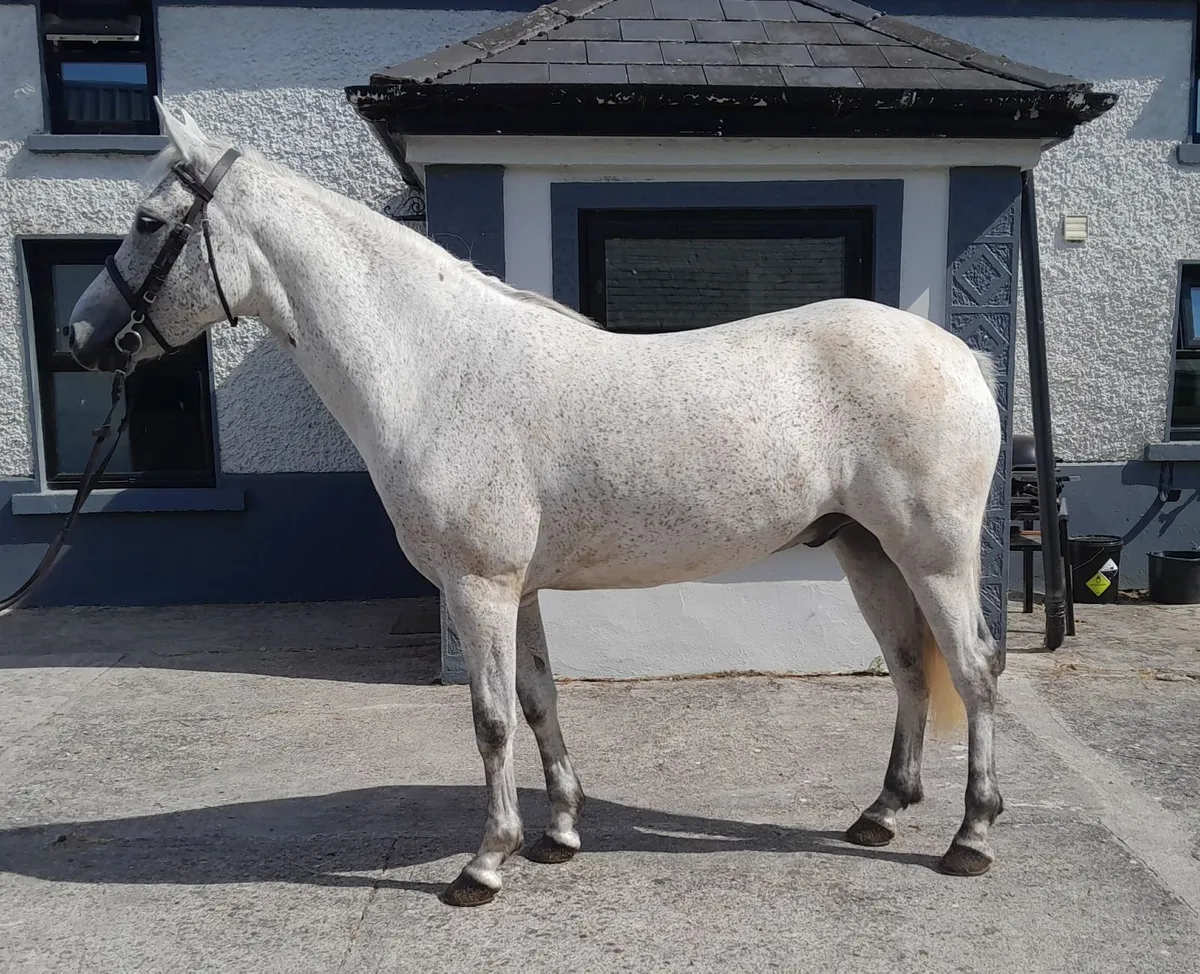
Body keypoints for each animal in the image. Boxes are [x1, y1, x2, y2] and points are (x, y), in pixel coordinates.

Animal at [67, 99, 1004, 907]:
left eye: (147, 223)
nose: (79, 339)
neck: (436, 366)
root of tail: (960, 355)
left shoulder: (477, 587)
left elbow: (488, 720)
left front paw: (484, 864)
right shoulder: (515, 591)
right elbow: (538, 701)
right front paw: (558, 834)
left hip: (933, 555)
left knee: (973, 670)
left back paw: (971, 838)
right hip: (866, 550)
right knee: (909, 667)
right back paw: (880, 815)